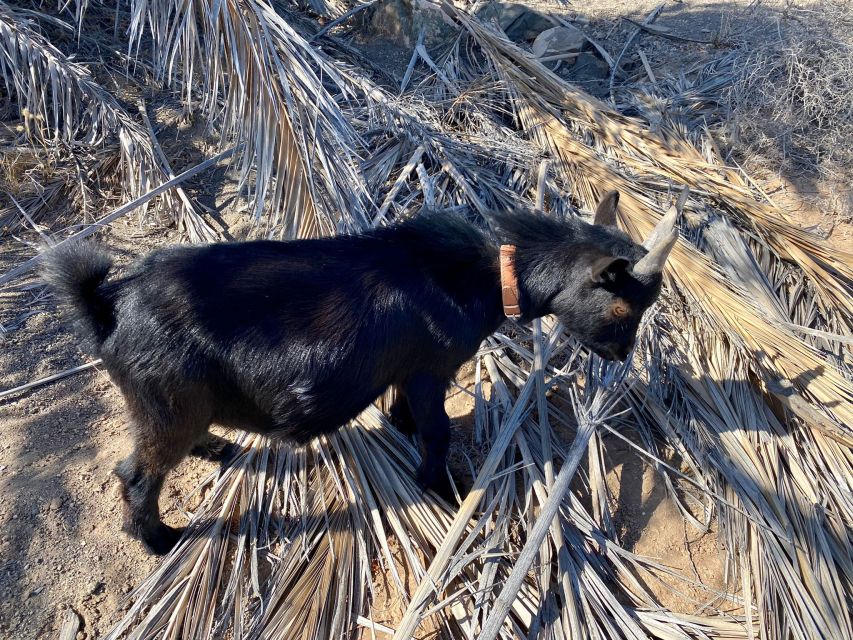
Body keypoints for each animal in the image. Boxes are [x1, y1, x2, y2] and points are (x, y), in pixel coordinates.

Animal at [41, 191, 680, 556]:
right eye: (621, 309)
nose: (621, 356)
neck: (478, 273)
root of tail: (107, 305)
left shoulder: (407, 369)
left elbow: (402, 409)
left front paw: (402, 435)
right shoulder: (431, 369)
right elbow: (437, 431)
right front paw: (439, 486)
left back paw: (215, 449)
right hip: (167, 403)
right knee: (136, 474)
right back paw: (158, 540)